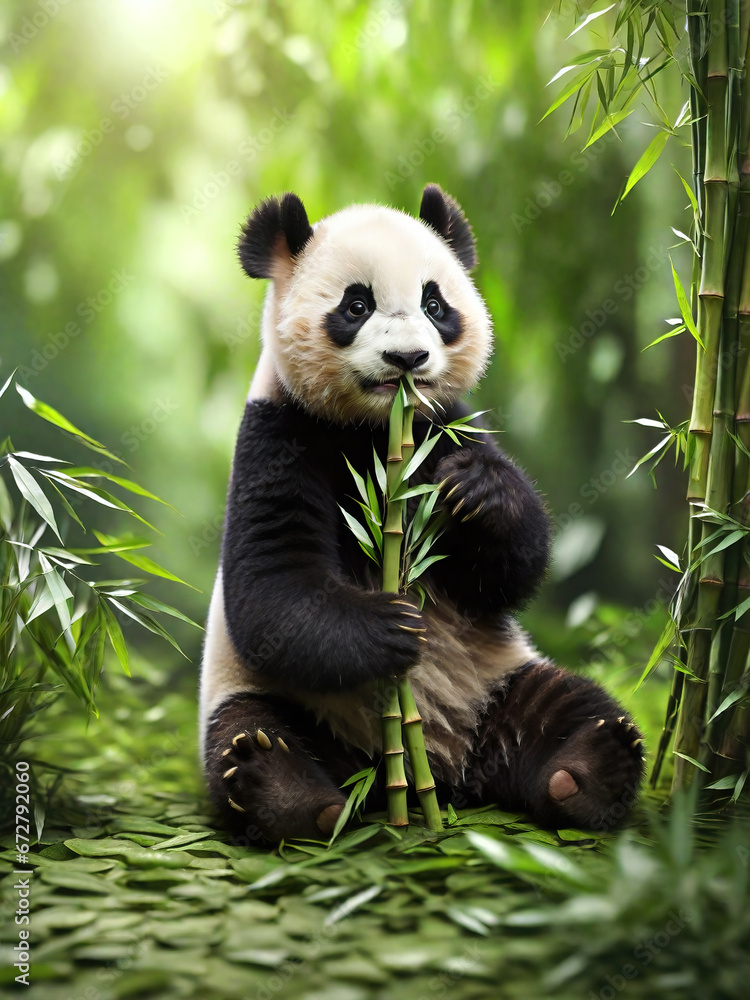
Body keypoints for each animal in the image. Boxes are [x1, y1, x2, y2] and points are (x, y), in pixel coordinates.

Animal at [200, 184, 645, 844]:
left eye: (435, 304)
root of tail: (439, 771)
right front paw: (392, 628)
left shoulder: (449, 425)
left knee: (573, 707)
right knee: (251, 731)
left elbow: (513, 569)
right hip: (280, 699)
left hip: (497, 678)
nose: (407, 358)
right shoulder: (278, 434)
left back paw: (590, 770)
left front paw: (477, 492)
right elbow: (272, 588)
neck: (376, 434)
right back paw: (286, 793)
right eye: (356, 305)